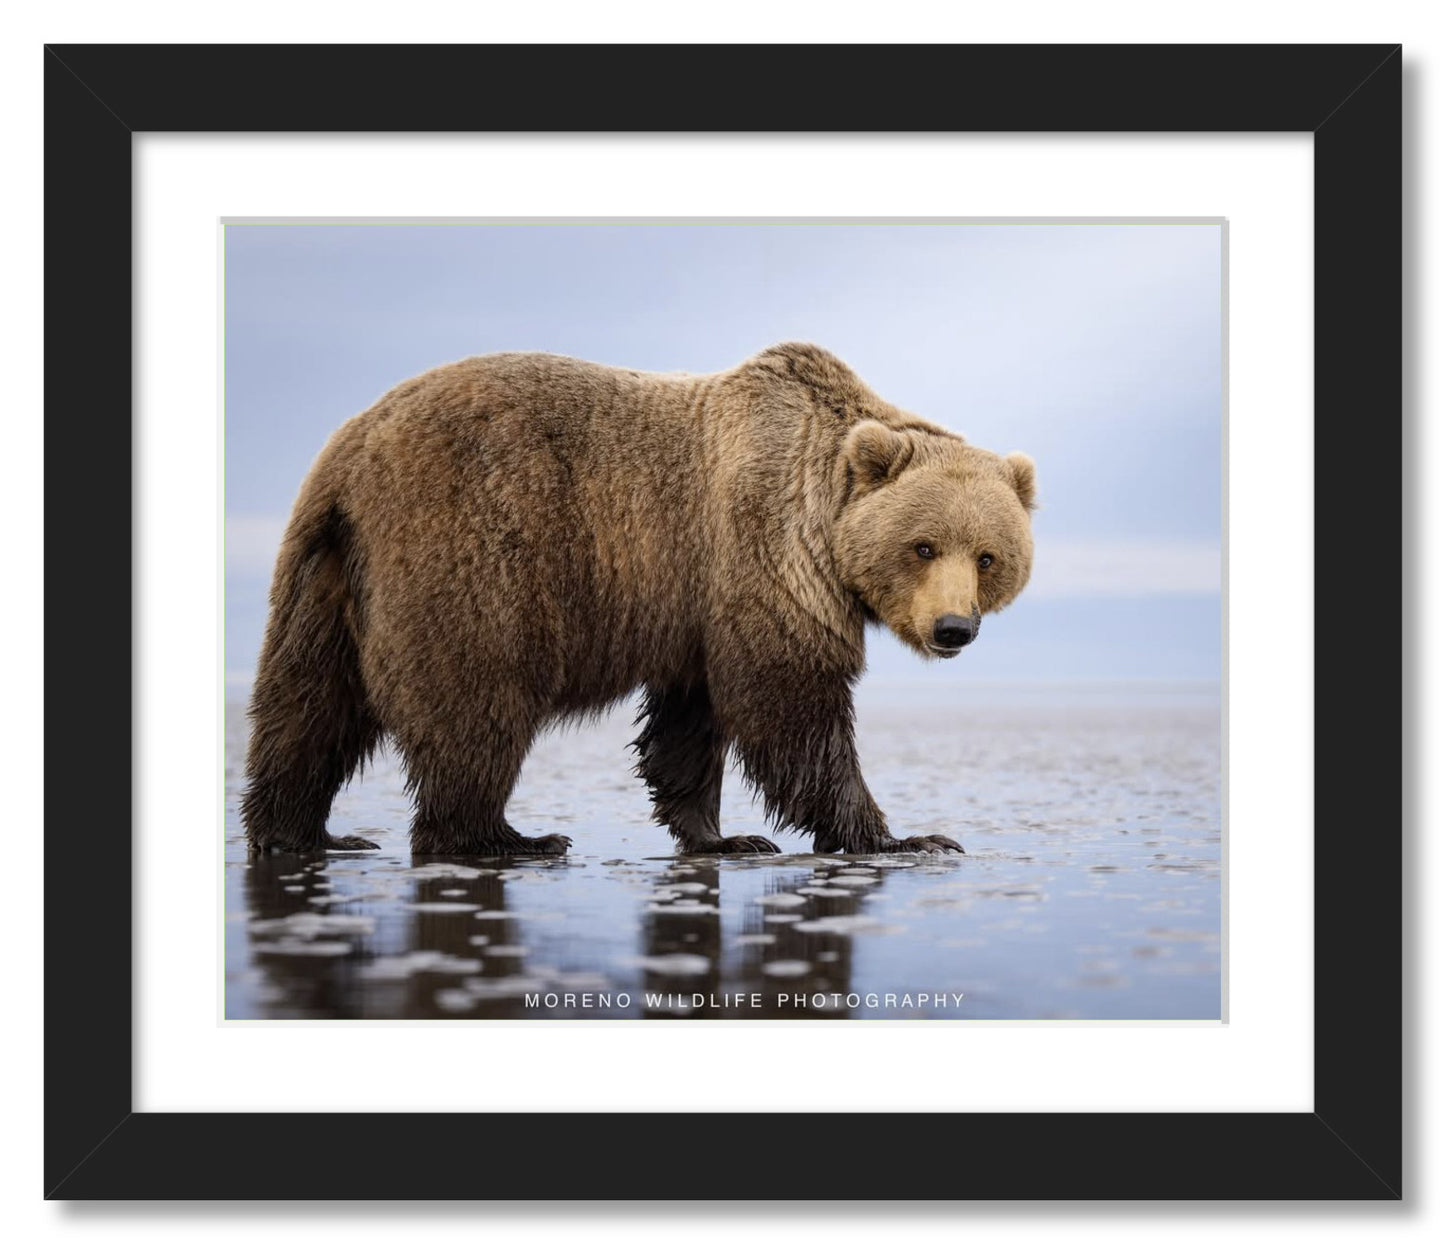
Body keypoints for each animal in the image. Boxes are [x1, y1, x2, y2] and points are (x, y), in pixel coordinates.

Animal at [241, 343, 1036, 857]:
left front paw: (723, 836)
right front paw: (906, 836)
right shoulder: (762, 553)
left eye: (988, 556)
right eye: (923, 546)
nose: (952, 627)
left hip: (324, 575)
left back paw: (303, 831)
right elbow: (790, 704)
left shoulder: (695, 604)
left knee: (308, 705)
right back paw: (505, 837)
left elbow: (690, 720)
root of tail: (350, 454)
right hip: (468, 548)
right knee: (476, 701)